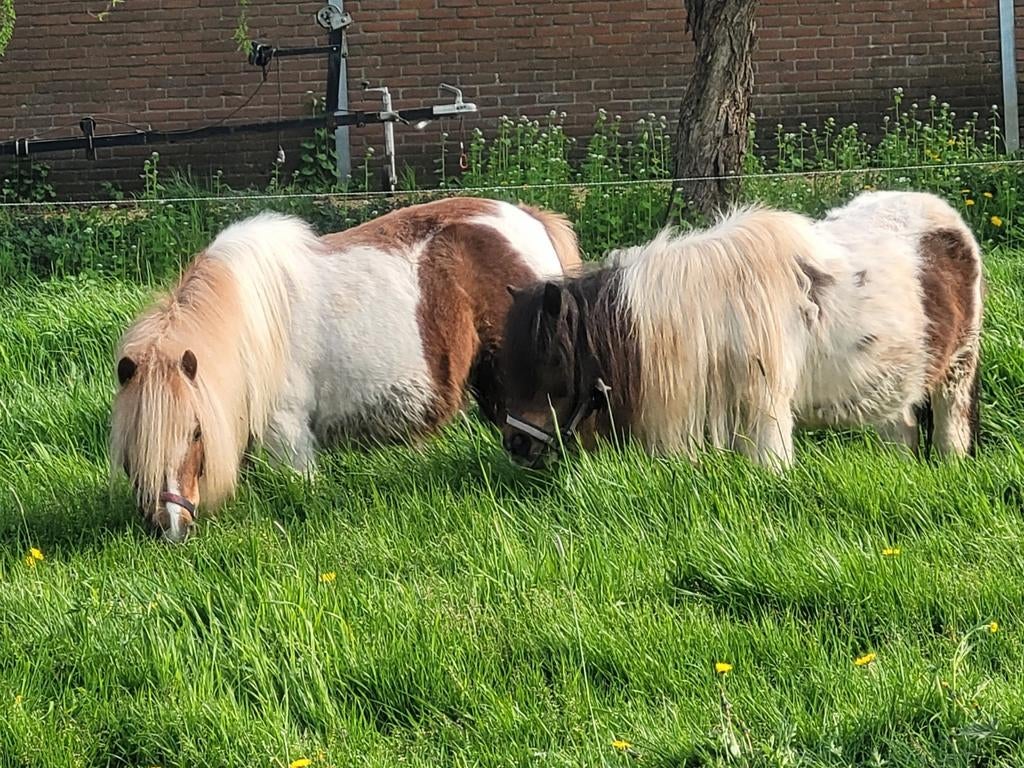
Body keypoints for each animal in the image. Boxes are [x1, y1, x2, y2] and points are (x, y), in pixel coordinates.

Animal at [110, 196, 581, 541]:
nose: (168, 528)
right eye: (132, 436)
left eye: (194, 432)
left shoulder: (289, 438)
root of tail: (531, 220)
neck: (252, 322)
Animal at [499, 190, 983, 470]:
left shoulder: (766, 412)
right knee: (901, 427)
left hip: (957, 370)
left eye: (554, 362)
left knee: (951, 428)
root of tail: (952, 223)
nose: (516, 444)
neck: (714, 312)